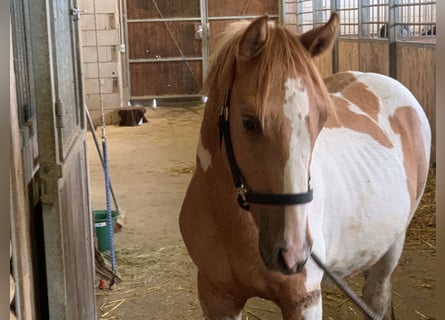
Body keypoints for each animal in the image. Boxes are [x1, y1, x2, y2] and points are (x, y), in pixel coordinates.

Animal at [180, 11, 430, 318]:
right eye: (249, 122)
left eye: (322, 120)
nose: (293, 252)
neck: (234, 225)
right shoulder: (216, 296)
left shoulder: (303, 300)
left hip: (392, 245)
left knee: (377, 295)